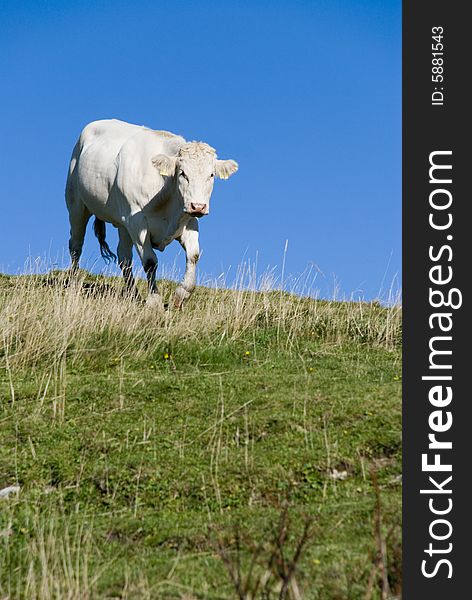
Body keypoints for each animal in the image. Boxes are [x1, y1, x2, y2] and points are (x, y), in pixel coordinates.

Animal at [64, 118, 238, 304]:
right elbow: (150, 261)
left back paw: (132, 294)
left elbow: (194, 255)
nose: (198, 206)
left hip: (122, 223)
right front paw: (154, 300)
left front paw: (181, 295)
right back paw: (73, 284)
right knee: (76, 245)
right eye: (182, 173)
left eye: (211, 175)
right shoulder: (137, 222)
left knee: (124, 256)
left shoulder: (189, 220)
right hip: (77, 205)